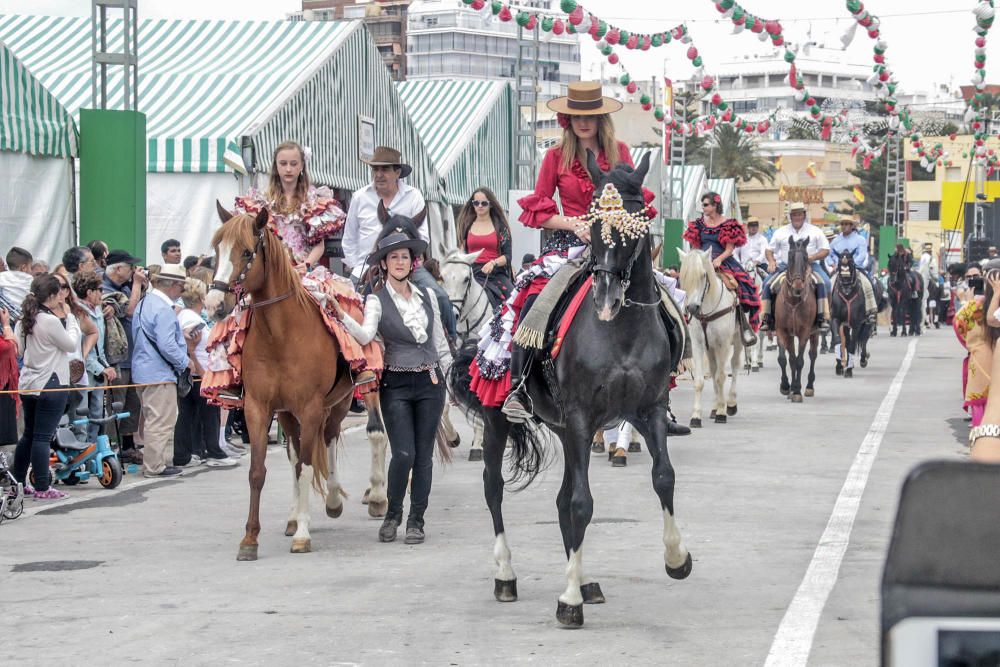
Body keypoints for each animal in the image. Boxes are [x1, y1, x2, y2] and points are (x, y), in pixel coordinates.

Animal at [207, 206, 386, 560]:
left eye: (246, 252)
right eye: (216, 251)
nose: (213, 304)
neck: (281, 335)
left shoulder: (311, 406)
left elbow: (305, 466)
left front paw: (303, 535)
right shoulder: (259, 408)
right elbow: (259, 471)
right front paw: (250, 538)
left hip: (339, 402)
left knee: (329, 439)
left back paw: (334, 501)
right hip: (288, 413)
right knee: (295, 452)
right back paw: (294, 516)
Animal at [452, 151, 692, 628]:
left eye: (636, 222)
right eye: (594, 227)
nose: (606, 298)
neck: (621, 331)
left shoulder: (649, 409)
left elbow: (663, 477)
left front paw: (677, 559)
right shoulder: (582, 418)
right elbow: (582, 503)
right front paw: (568, 601)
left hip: (564, 429)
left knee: (562, 498)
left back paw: (585, 581)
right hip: (499, 419)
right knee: (494, 487)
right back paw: (506, 575)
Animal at [680, 247, 744, 428]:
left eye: (703, 275)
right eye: (683, 275)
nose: (692, 308)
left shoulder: (723, 344)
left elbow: (721, 377)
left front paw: (722, 413)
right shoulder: (698, 344)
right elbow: (700, 381)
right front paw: (696, 416)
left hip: (737, 340)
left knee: (734, 366)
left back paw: (730, 404)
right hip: (711, 348)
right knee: (714, 370)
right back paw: (715, 407)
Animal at [772, 243, 820, 404]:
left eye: (806, 257)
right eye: (790, 257)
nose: (798, 285)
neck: (793, 301)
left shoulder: (804, 332)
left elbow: (800, 361)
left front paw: (797, 390)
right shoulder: (782, 331)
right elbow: (785, 359)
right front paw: (787, 386)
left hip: (815, 333)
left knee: (812, 355)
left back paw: (809, 387)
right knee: (792, 357)